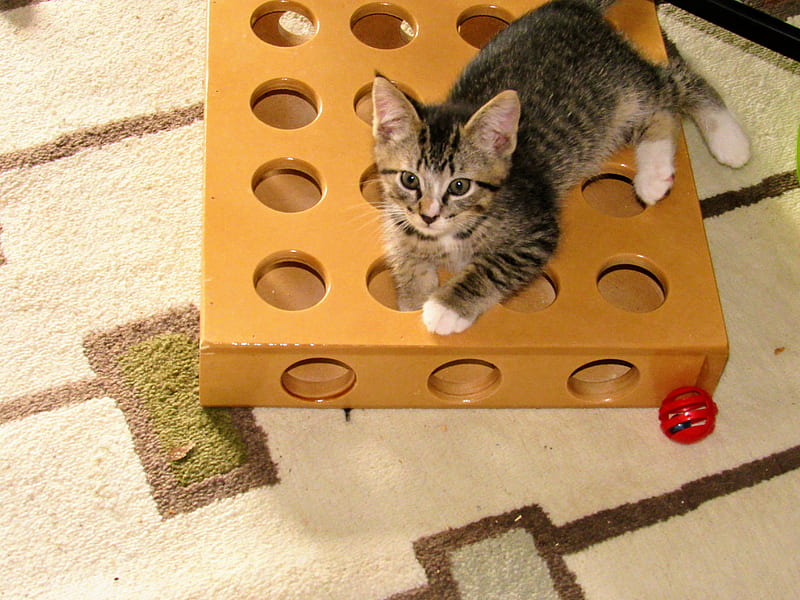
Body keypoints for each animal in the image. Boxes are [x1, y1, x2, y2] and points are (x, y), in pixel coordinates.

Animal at [372, 0, 748, 332]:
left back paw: (728, 140)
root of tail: (566, 7)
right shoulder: (402, 230)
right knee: (660, 114)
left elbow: (494, 267)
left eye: (459, 185)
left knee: (675, 81)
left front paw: (447, 307)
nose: (429, 215)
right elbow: (408, 267)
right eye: (409, 179)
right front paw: (414, 299)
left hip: (623, 89)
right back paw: (656, 175)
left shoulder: (536, 231)